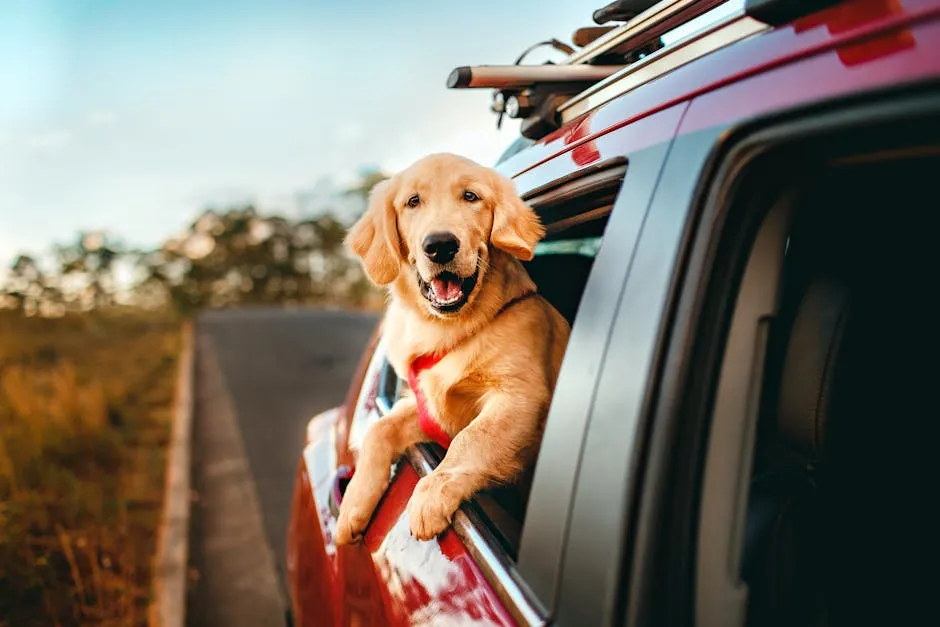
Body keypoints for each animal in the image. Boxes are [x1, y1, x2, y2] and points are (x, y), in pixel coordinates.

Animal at [338, 152, 572, 544]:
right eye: (412, 202)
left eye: (471, 196)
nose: (440, 245)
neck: (453, 328)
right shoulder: (426, 407)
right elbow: (379, 429)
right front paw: (352, 505)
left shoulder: (521, 396)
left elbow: (472, 438)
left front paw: (431, 494)